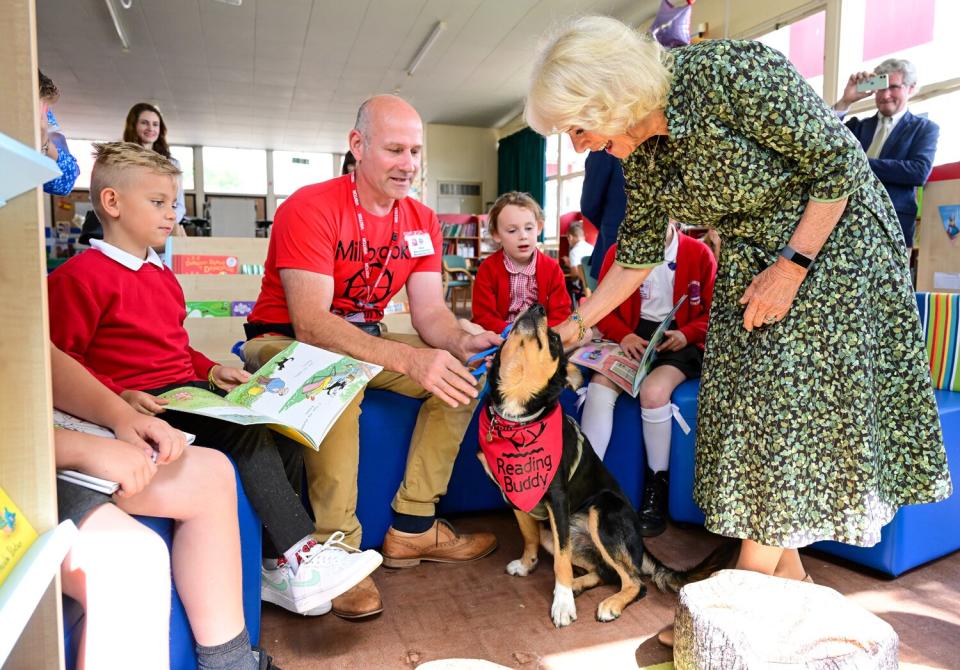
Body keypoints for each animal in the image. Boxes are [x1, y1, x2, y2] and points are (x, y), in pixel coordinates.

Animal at [476, 304, 732, 632]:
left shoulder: (557, 497)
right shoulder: (513, 493)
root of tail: (639, 543)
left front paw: (562, 605)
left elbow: (560, 562)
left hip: (604, 512)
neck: (517, 415)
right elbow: (528, 534)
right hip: (561, 535)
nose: (537, 307)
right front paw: (527, 564)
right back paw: (578, 585)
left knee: (636, 582)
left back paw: (608, 602)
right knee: (605, 571)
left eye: (555, 338)